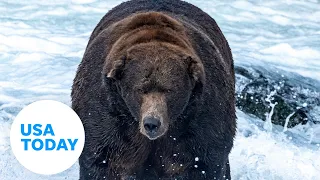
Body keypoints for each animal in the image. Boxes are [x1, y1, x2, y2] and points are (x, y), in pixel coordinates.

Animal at [72, 0, 235, 179]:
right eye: (140, 89)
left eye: (169, 90)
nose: (152, 123)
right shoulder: (108, 111)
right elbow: (103, 159)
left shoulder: (200, 114)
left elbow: (201, 162)